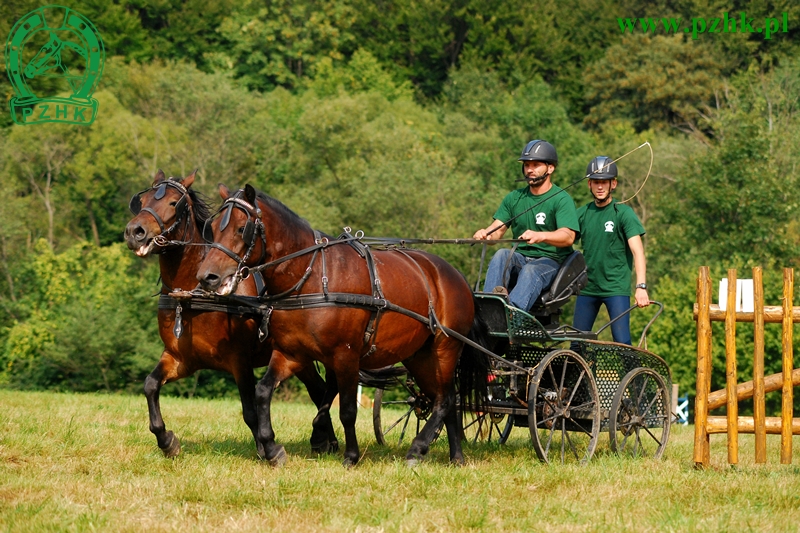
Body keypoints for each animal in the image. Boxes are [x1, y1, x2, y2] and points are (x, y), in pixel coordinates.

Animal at [122, 170, 338, 458]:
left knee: (323, 390)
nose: (135, 232)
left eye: (173, 203)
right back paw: (326, 441)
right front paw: (166, 440)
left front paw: (266, 449)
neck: (194, 295)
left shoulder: (239, 360)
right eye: (142, 201)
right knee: (319, 390)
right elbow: (150, 385)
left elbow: (249, 412)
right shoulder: (180, 358)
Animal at [195, 184, 476, 466]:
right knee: (445, 399)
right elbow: (263, 391)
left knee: (445, 400)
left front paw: (350, 456)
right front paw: (273, 448)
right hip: (418, 356)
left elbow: (348, 410)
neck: (311, 277)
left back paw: (418, 449)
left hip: (445, 348)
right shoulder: (291, 352)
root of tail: (455, 275)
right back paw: (456, 457)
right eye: (214, 228)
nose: (207, 277)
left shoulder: (346, 355)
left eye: (241, 228)